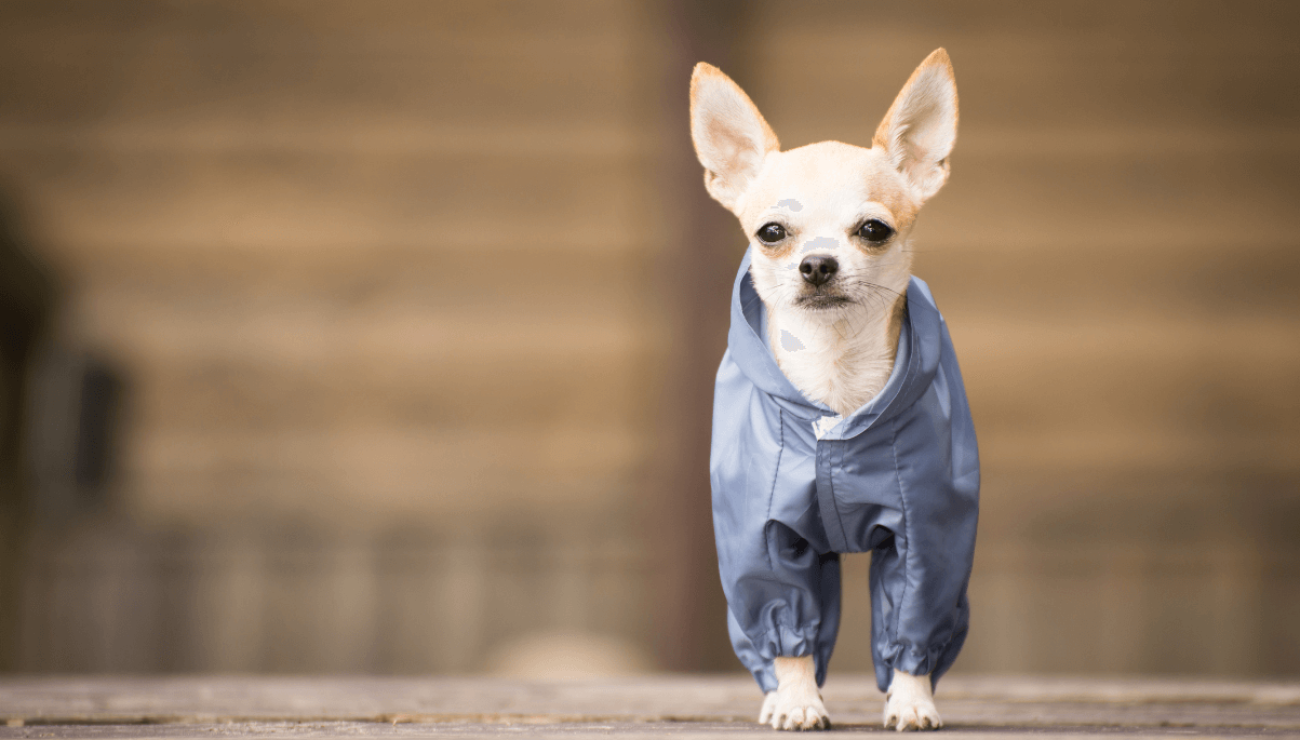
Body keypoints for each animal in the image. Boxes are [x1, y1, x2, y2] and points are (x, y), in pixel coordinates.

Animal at [696, 49, 977, 728]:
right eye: (772, 232)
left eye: (873, 230)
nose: (817, 264)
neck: (835, 381)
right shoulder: (763, 543)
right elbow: (789, 631)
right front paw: (798, 699)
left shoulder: (928, 541)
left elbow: (912, 623)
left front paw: (912, 699)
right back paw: (778, 694)